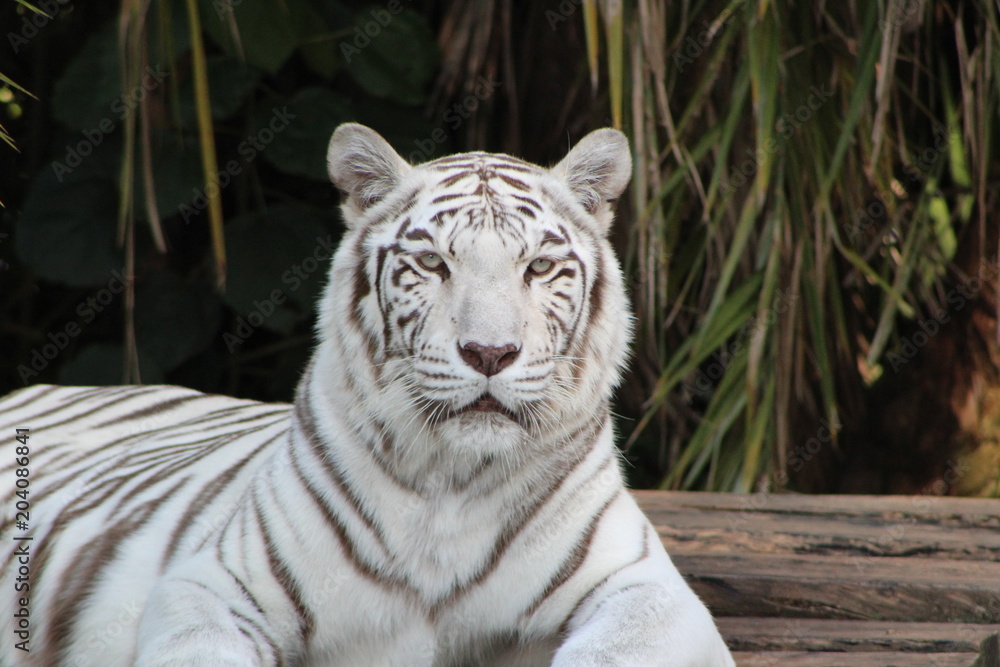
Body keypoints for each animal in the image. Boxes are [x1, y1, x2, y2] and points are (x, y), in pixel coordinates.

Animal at [0, 123, 734, 666]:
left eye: (540, 267)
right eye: (434, 264)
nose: (490, 353)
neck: (454, 483)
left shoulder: (645, 587)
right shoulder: (215, 584)